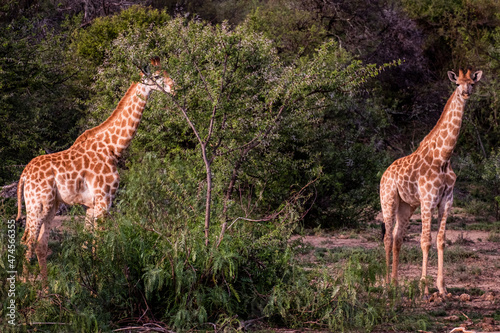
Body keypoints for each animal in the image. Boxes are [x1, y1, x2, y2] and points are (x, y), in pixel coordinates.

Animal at [15, 57, 175, 282]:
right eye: (158, 76)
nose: (174, 88)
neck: (113, 147)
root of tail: (23, 175)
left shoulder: (90, 205)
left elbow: (86, 246)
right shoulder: (104, 200)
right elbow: (99, 247)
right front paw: (100, 286)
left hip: (51, 206)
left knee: (39, 244)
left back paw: (45, 289)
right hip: (38, 204)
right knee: (27, 242)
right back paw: (25, 286)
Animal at [380, 67, 482, 294]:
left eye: (472, 83)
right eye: (457, 83)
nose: (466, 94)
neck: (443, 157)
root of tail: (384, 174)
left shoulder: (446, 201)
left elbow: (441, 241)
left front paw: (442, 288)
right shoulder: (427, 200)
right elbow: (425, 241)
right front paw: (424, 288)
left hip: (406, 205)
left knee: (398, 237)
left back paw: (395, 282)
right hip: (388, 200)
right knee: (387, 237)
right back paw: (386, 284)